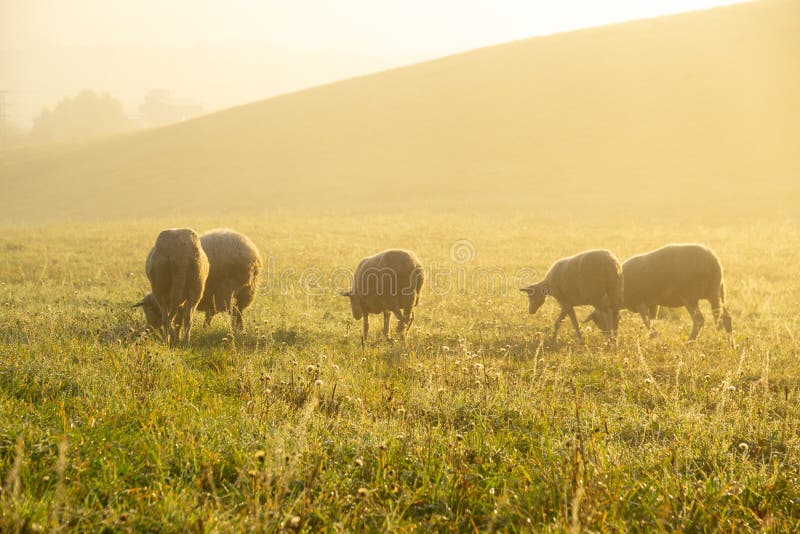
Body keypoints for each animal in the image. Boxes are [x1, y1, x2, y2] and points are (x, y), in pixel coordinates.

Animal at [580, 244, 732, 342]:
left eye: (599, 321)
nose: (607, 338)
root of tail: (714, 261)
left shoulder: (641, 302)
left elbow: (646, 321)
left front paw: (654, 336)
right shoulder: (653, 303)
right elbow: (652, 320)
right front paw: (653, 337)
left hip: (691, 296)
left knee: (699, 320)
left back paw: (689, 342)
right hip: (717, 292)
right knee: (726, 317)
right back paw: (731, 345)